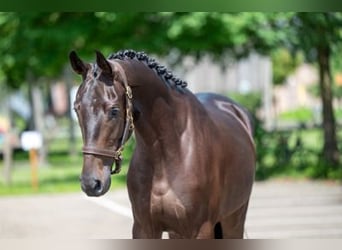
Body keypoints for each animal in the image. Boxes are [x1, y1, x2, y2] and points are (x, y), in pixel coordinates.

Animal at [69, 49, 255, 238]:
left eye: (114, 110)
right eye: (76, 109)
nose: (91, 183)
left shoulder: (201, 230)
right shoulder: (144, 228)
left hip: (234, 218)